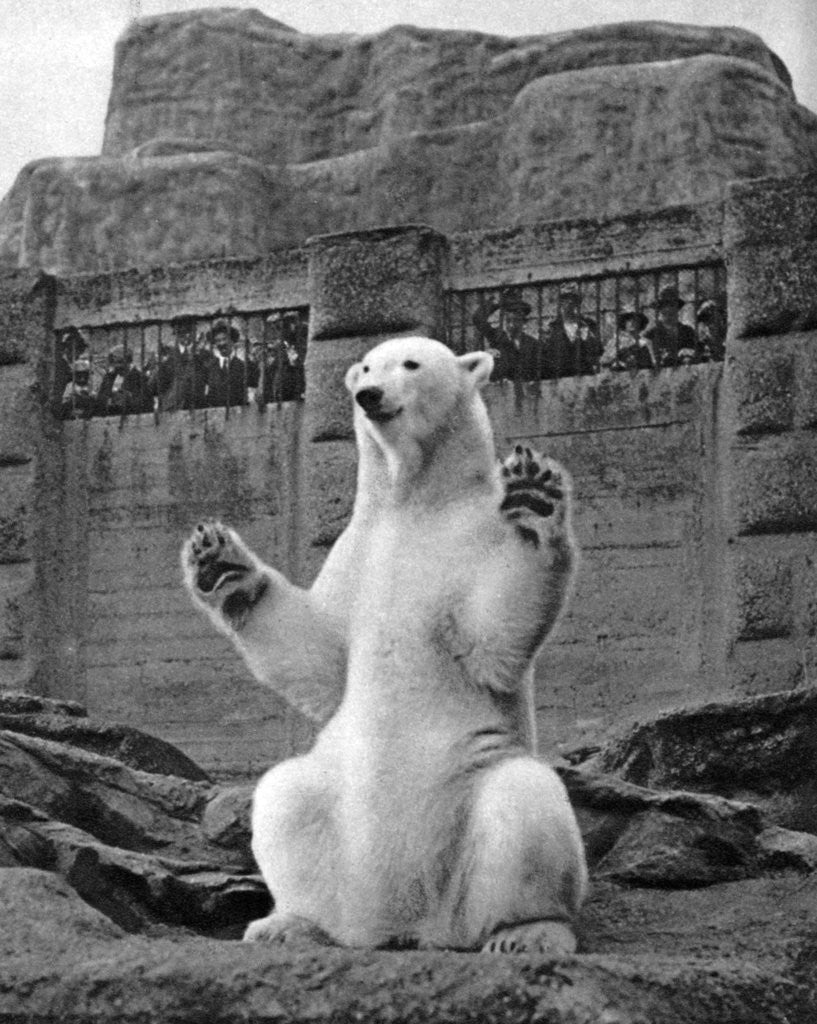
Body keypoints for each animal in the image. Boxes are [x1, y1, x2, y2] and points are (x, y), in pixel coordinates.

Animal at [182, 335, 587, 953]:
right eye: (368, 367)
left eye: (412, 364)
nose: (368, 394)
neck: (415, 503)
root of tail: (406, 922)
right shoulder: (355, 553)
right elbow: (324, 656)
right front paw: (222, 565)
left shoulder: (474, 539)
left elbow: (491, 640)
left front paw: (536, 500)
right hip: (337, 822)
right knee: (285, 797)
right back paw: (291, 924)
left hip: (470, 804)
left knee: (524, 803)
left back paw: (527, 933)